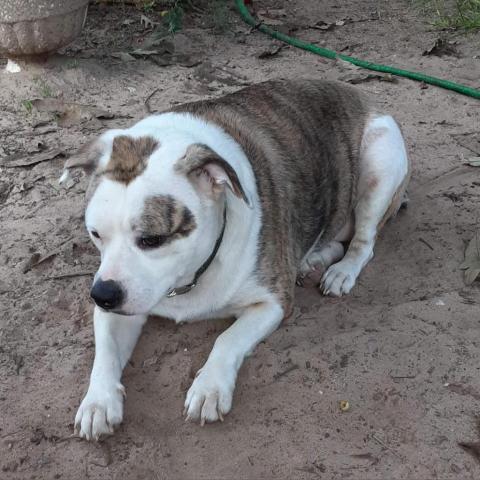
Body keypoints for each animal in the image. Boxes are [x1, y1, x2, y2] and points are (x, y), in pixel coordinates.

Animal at [62, 79, 410, 442]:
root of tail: (359, 93)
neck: (189, 279)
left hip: (380, 161)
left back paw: (341, 271)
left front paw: (210, 387)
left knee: (363, 241)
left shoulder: (272, 303)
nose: (102, 295)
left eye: (152, 240)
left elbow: (227, 338)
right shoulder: (117, 303)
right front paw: (98, 401)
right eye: (95, 234)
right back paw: (314, 257)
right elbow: (105, 352)